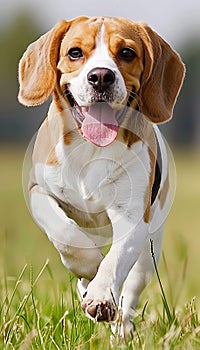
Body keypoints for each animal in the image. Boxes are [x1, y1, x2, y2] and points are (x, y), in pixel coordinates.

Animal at [18, 17, 184, 340]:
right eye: (75, 53)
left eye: (127, 53)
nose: (101, 77)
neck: (90, 148)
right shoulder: (38, 191)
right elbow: (68, 235)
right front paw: (90, 270)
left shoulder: (132, 218)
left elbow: (115, 260)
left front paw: (101, 296)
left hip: (149, 252)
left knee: (131, 291)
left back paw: (121, 329)